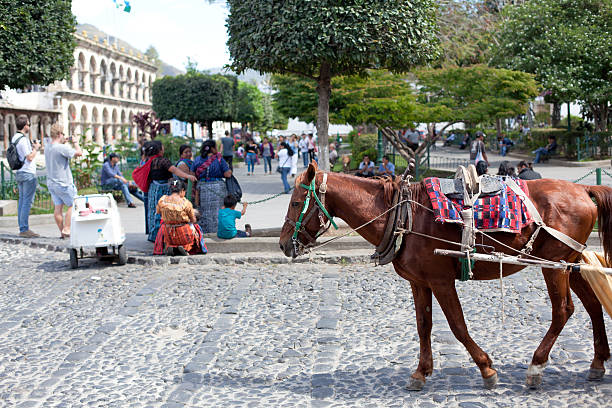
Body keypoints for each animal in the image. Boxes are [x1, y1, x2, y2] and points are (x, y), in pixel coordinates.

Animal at [278, 162, 612, 388]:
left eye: (295, 202)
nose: (282, 244)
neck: (403, 216)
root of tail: (583, 189)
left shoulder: (441, 281)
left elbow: (457, 326)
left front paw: (486, 369)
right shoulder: (418, 282)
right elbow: (423, 326)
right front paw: (421, 371)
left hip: (553, 264)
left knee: (563, 310)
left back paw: (536, 366)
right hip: (571, 262)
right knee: (593, 306)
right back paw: (597, 362)